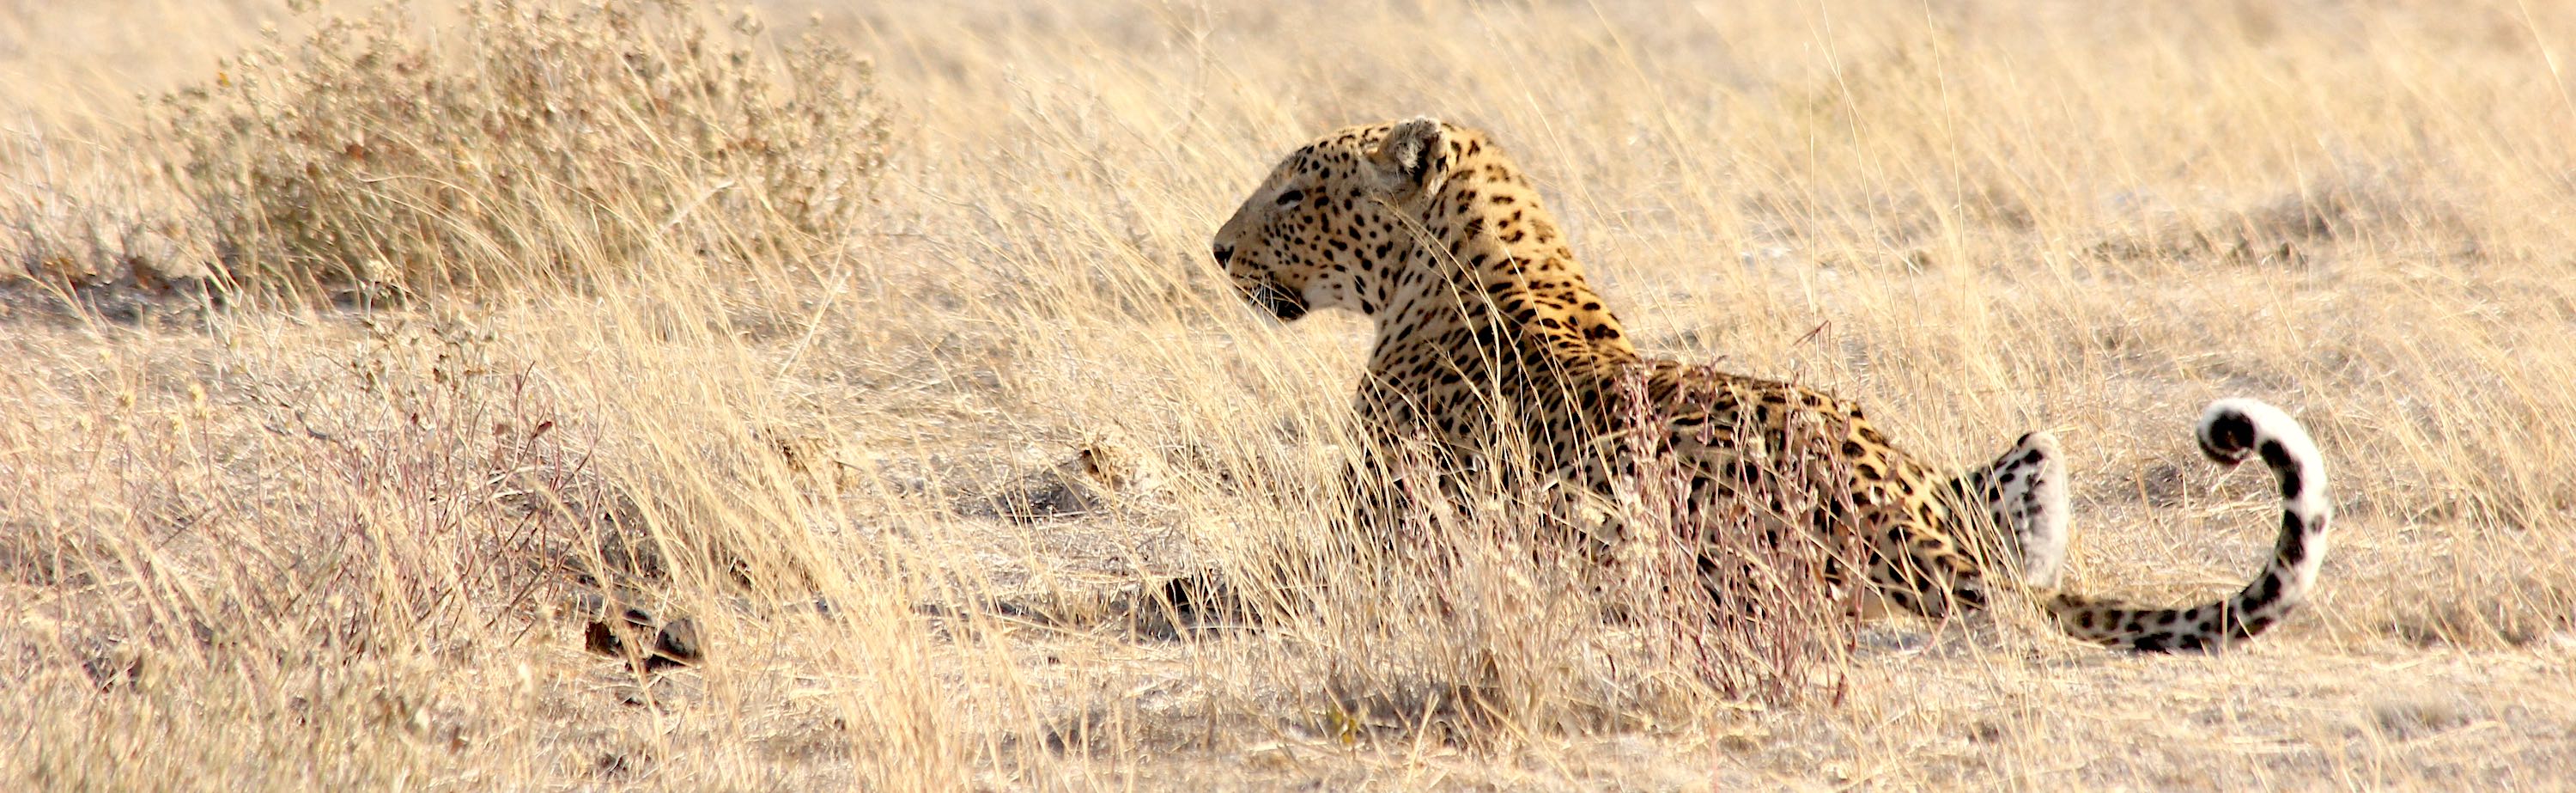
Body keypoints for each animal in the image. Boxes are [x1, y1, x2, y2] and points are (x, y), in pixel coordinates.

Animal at [1206, 118, 2339, 651]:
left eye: (1296, 192)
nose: (1217, 249)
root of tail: (1895, 514)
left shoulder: (1362, 553)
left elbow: (1213, 580)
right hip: (2017, 454)